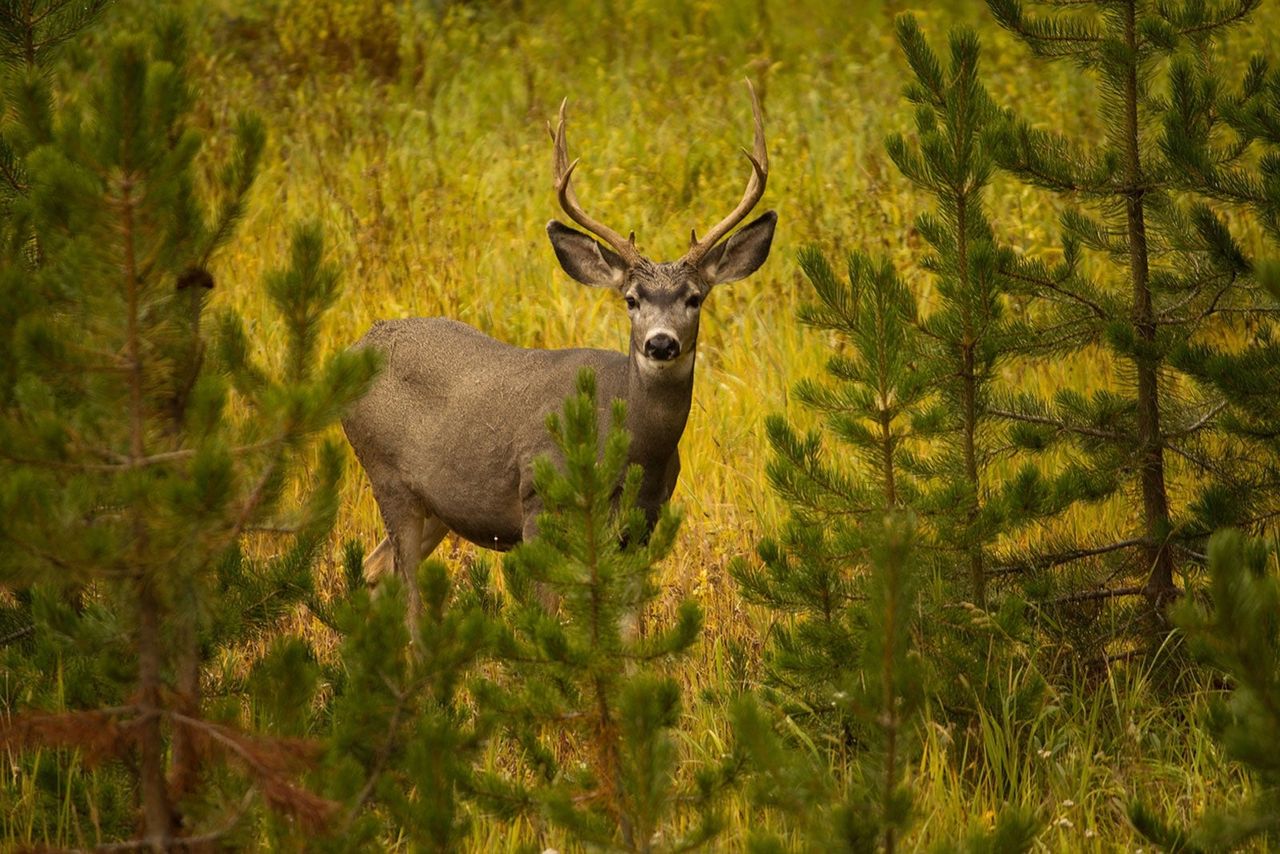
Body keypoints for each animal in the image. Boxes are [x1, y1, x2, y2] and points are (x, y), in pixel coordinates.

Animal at [340, 81, 773, 627]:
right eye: (631, 299)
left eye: (695, 298)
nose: (660, 343)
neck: (630, 447)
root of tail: (359, 344)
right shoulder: (538, 505)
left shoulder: (641, 526)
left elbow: (629, 632)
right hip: (387, 476)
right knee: (409, 596)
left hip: (438, 503)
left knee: (375, 571)